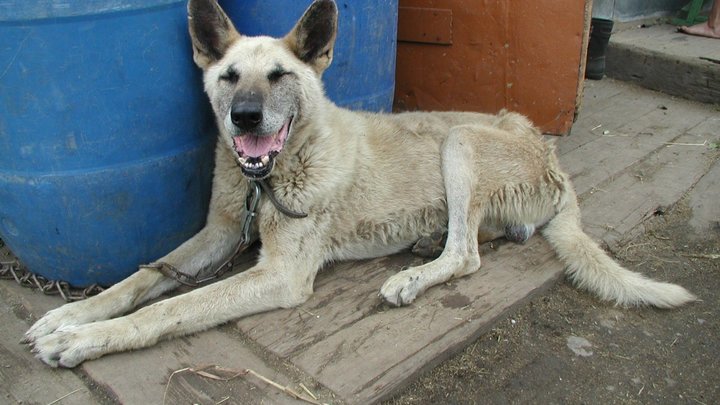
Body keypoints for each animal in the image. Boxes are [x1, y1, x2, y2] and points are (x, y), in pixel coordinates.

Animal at [23, 0, 696, 366]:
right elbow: (143, 278)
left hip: (460, 141)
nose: (246, 118)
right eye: (229, 77)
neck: (273, 174)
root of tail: (546, 147)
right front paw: (74, 314)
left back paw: (413, 276)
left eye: (278, 77)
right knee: (487, 235)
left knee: (467, 253)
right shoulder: (218, 233)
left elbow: (174, 307)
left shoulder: (280, 276)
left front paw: (88, 339)